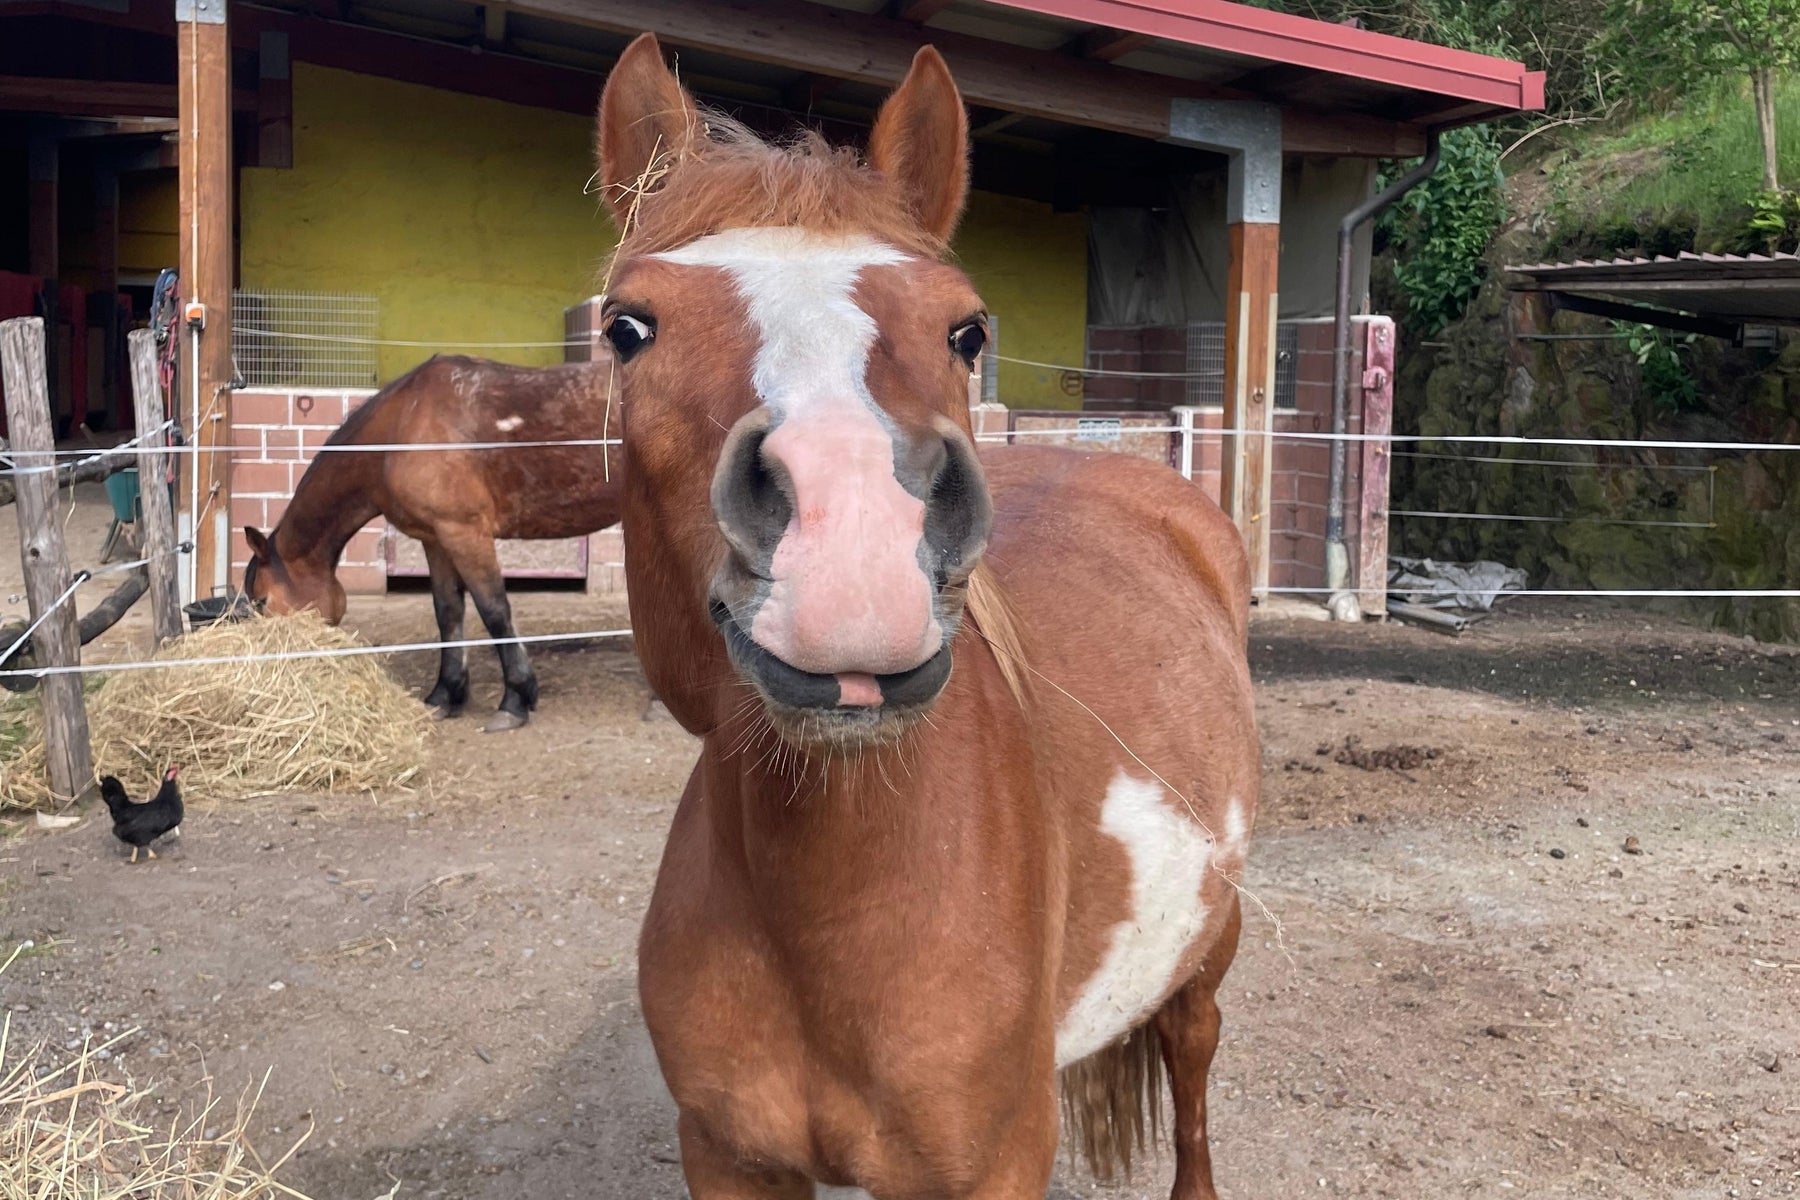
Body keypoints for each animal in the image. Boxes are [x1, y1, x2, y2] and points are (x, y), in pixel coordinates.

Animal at [242, 355, 622, 732]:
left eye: (262, 601)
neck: (400, 426)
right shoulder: (436, 539)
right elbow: (448, 612)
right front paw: (445, 695)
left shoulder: (465, 533)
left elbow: (495, 611)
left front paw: (514, 699)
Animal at [599, 34, 1259, 1200]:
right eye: (626, 328)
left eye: (968, 327)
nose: (854, 541)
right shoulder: (725, 1155)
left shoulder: (994, 1163)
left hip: (1208, 945)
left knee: (1191, 1057)